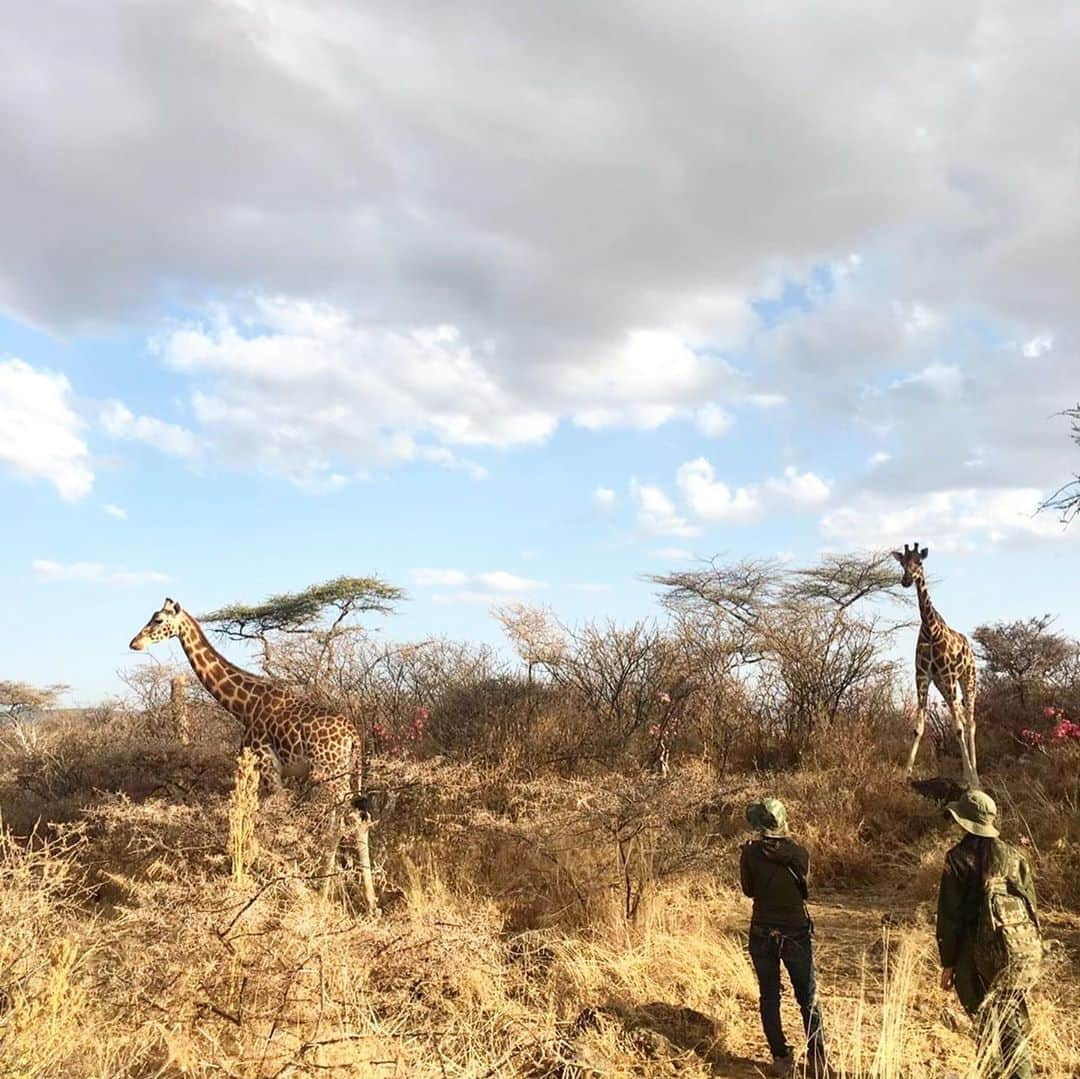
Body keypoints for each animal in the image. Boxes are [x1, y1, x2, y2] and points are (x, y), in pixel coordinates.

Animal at [130, 600, 378, 911]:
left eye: (158, 620)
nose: (134, 643)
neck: (244, 706)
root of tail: (353, 737)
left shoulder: (265, 765)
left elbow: (268, 818)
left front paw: (291, 886)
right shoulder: (270, 771)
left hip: (329, 772)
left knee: (349, 819)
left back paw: (345, 897)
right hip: (348, 772)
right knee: (352, 818)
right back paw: (351, 896)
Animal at [889, 544, 984, 790]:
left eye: (919, 562)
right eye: (902, 563)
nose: (906, 580)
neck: (930, 630)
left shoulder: (948, 675)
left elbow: (958, 728)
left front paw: (972, 781)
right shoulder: (922, 676)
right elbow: (918, 728)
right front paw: (905, 775)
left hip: (967, 680)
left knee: (970, 722)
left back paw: (975, 777)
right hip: (943, 685)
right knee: (963, 718)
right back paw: (968, 774)